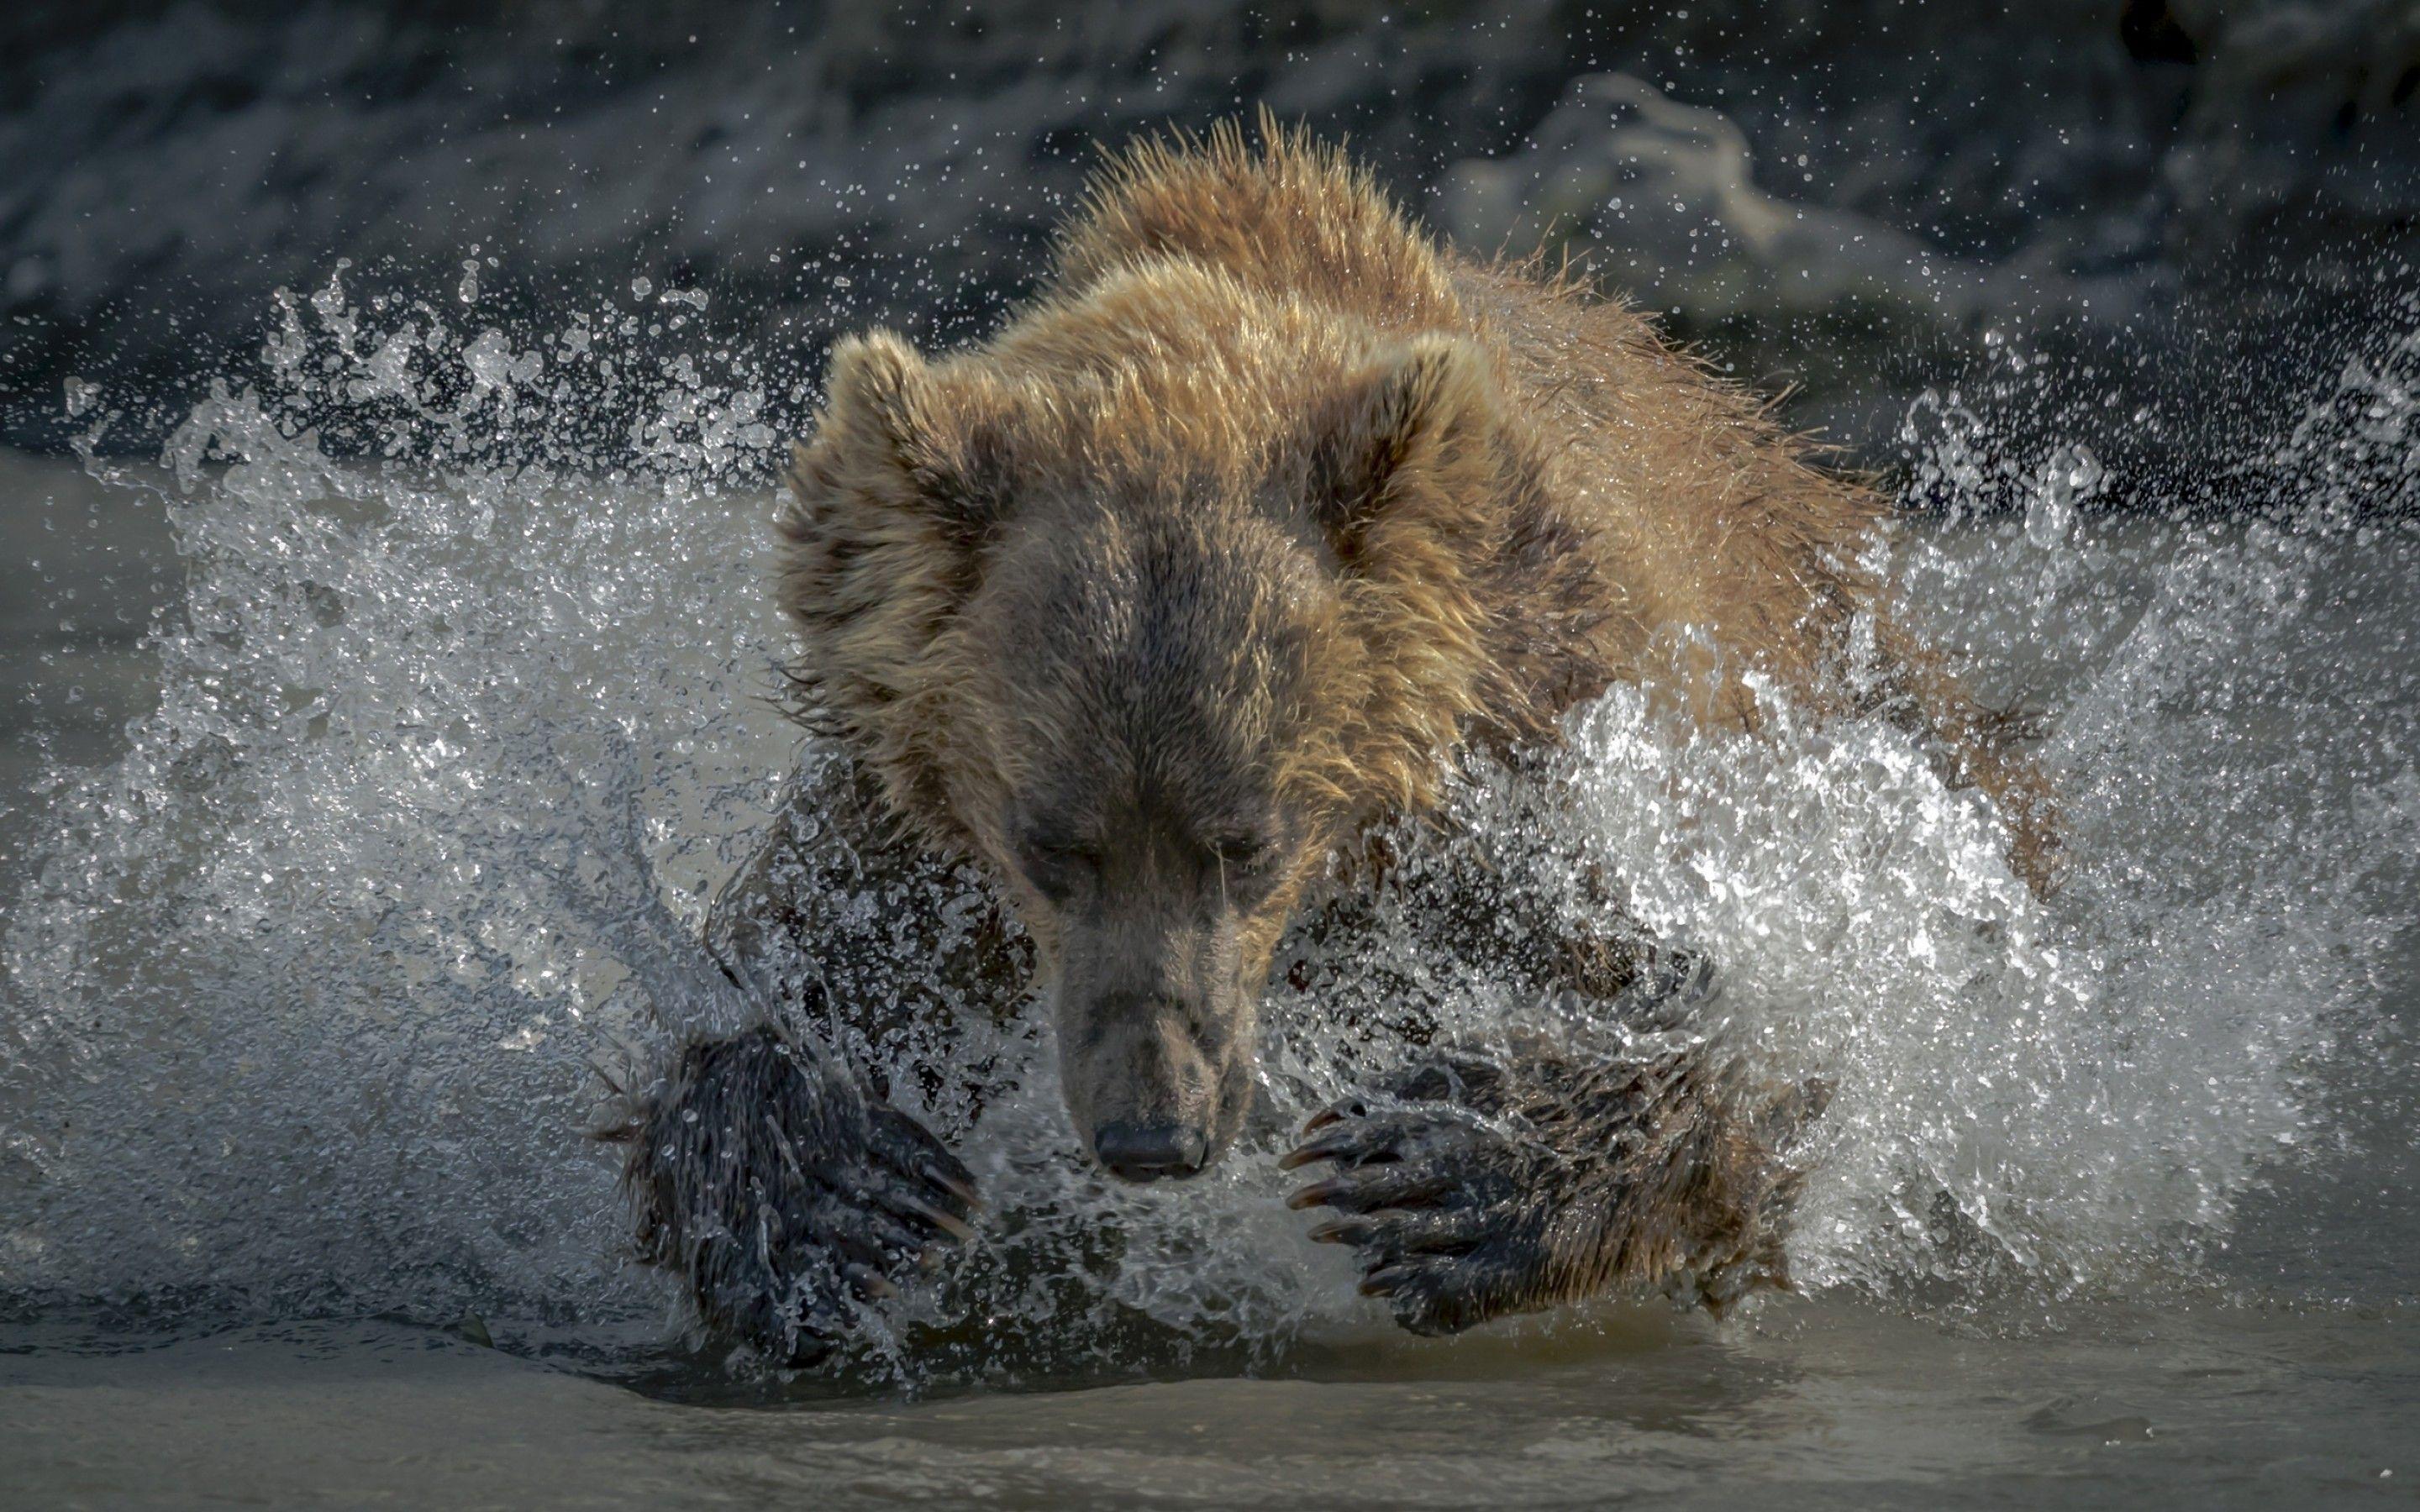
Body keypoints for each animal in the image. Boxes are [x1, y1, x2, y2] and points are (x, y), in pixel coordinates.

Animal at [607, 117, 2053, 1365]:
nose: (1155, 1133)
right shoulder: (908, 838)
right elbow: (778, 982)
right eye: (1049, 842)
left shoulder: (1547, 756)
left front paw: (1434, 1172)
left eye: (1246, 839)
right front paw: (827, 1190)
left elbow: (1781, 1018)